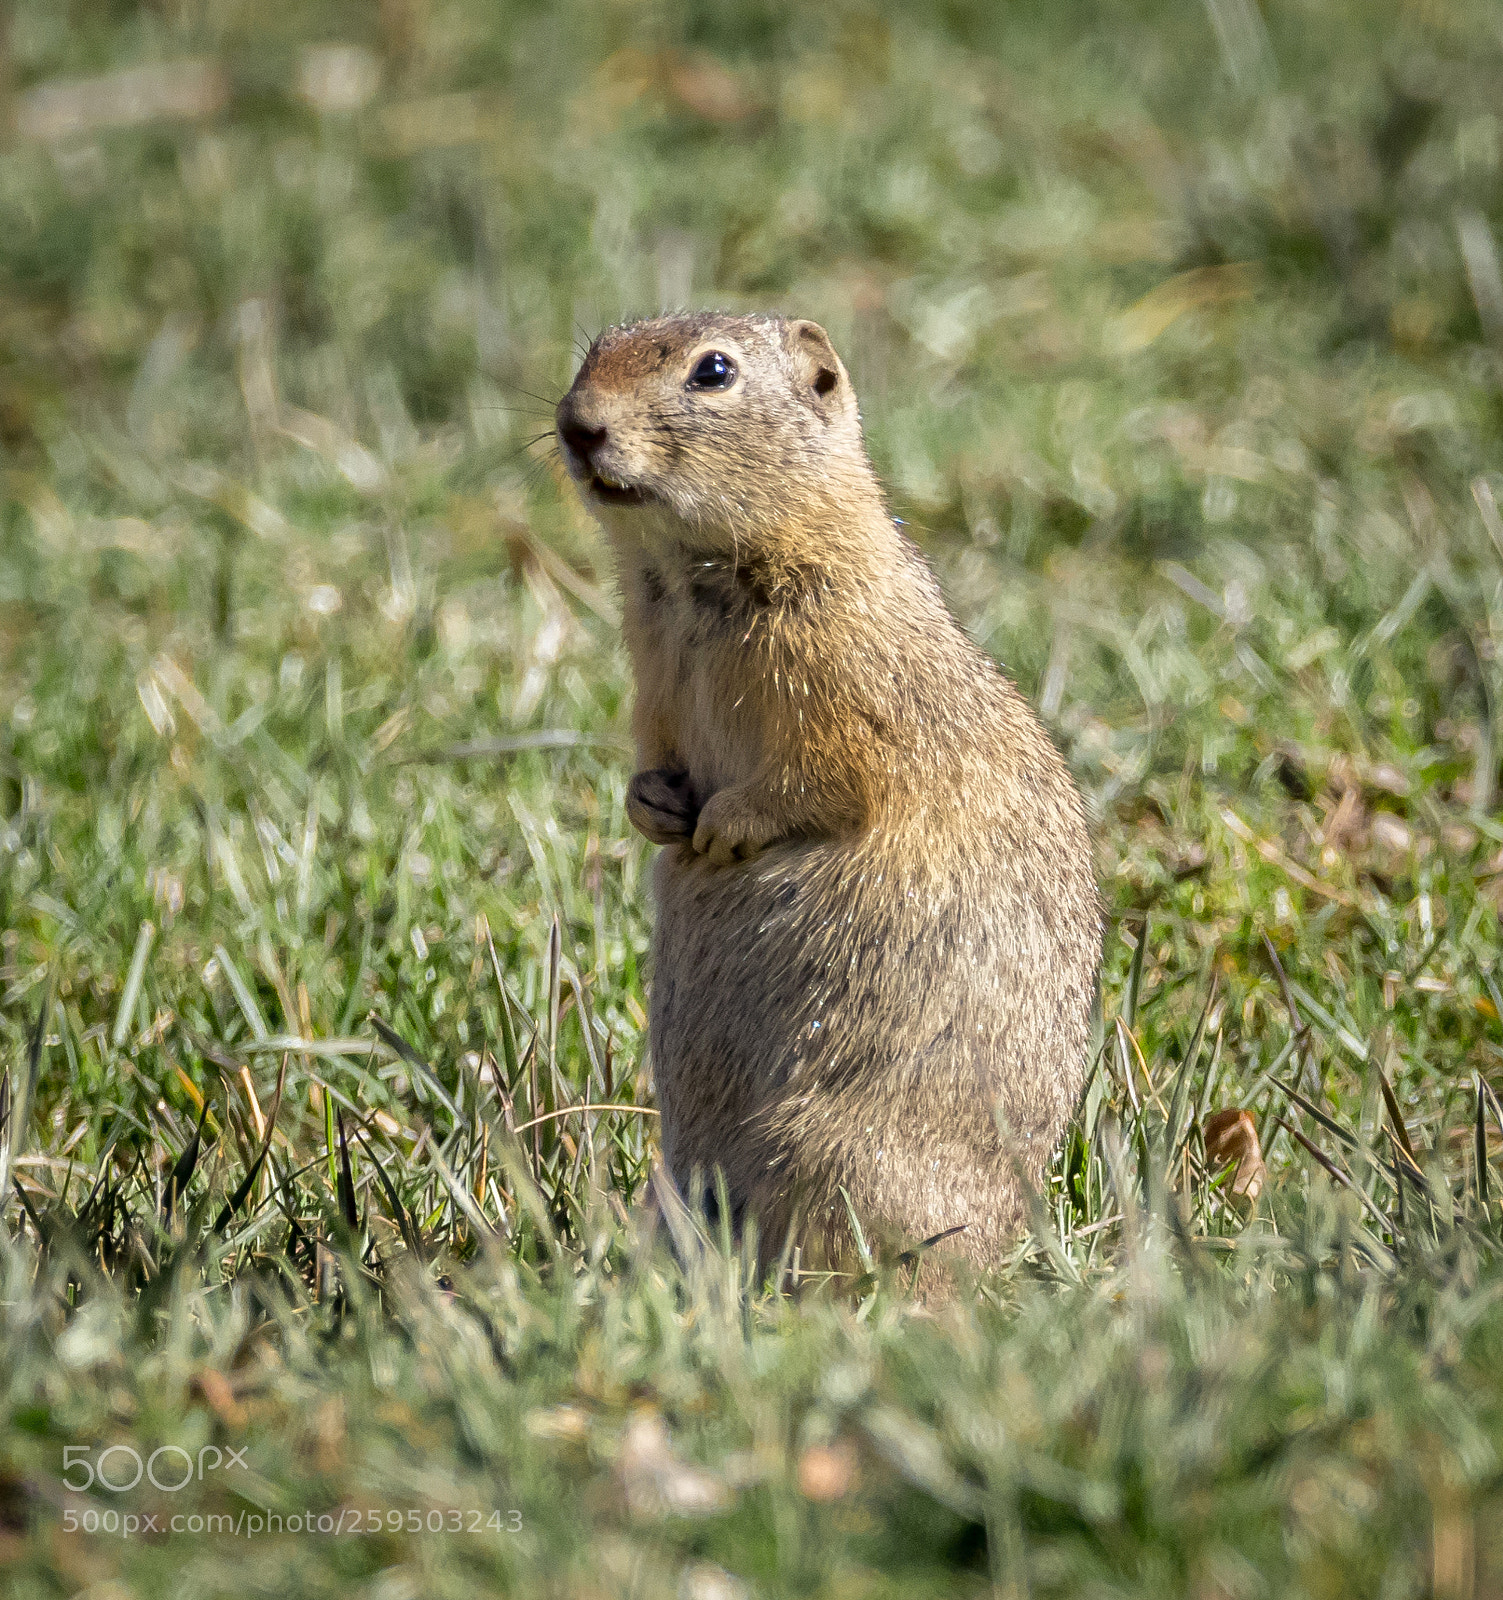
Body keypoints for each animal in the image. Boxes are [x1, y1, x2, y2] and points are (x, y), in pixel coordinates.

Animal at [555, 312, 1101, 1280]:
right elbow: (653, 755)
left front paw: (721, 830)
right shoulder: (653, 685)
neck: (693, 583)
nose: (576, 426)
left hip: (829, 1150)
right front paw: (653, 809)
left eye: (713, 371)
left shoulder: (843, 678)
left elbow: (829, 775)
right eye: (592, 352)